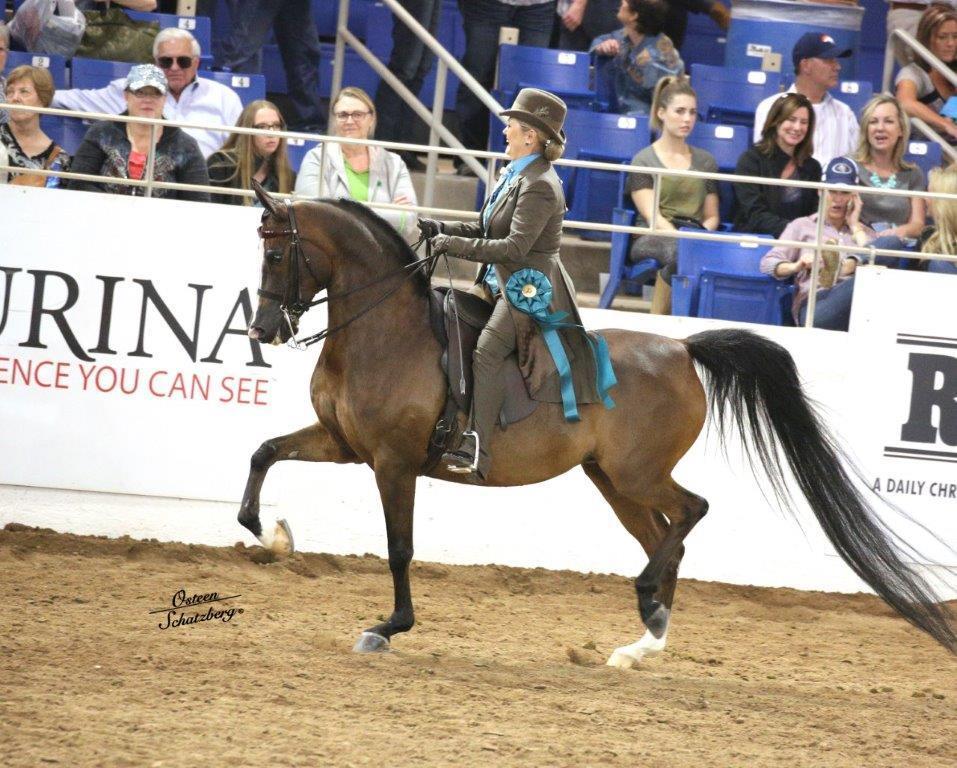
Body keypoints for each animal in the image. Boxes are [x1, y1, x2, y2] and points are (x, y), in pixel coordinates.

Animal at [240, 184, 956, 665]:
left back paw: (646, 607)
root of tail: (682, 349)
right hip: (612, 480)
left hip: (637, 474)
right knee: (667, 537)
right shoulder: (344, 444)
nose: (264, 329)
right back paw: (645, 639)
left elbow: (399, 547)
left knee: (692, 512)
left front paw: (388, 627)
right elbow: (264, 452)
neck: (384, 333)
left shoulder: (394, 462)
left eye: (277, 256)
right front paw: (267, 533)